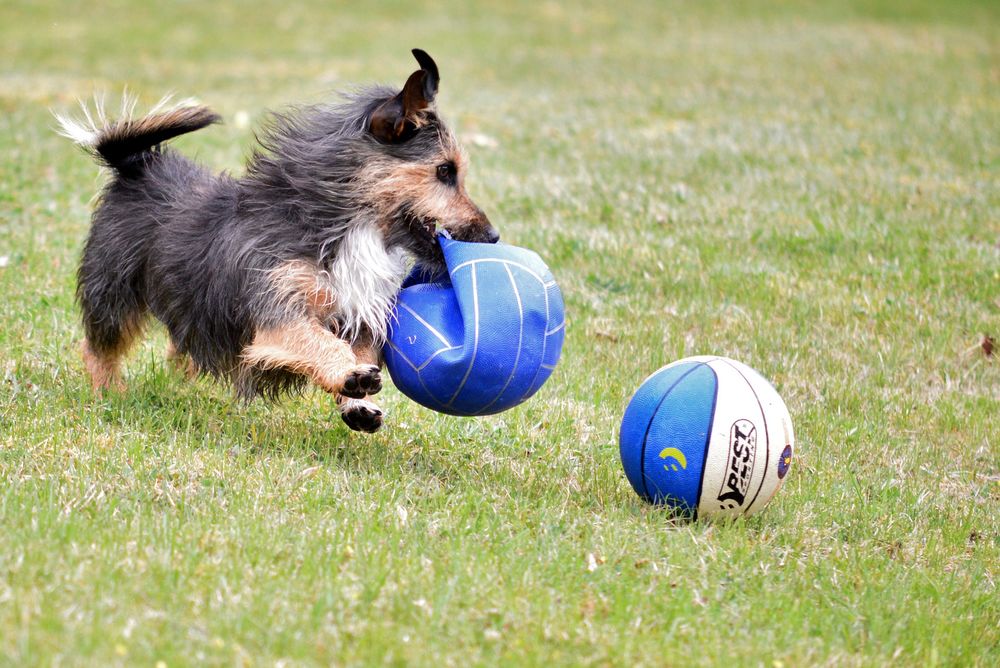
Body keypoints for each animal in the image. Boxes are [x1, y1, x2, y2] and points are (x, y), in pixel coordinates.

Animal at [56, 48, 498, 434]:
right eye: (445, 170)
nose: (493, 237)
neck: (345, 230)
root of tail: (135, 164)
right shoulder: (277, 307)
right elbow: (318, 340)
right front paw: (348, 374)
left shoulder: (360, 315)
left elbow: (359, 349)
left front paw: (358, 402)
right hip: (114, 292)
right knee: (99, 347)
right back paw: (109, 392)